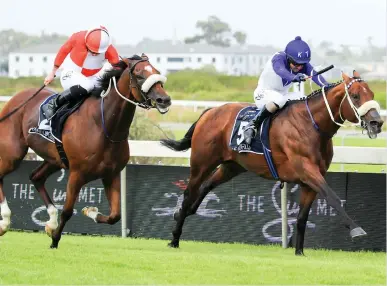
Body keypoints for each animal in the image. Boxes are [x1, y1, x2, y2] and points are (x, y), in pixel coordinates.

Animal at [0, 53, 171, 248]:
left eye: (157, 71)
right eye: (140, 75)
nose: (164, 100)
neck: (104, 127)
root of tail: (16, 98)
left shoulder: (111, 174)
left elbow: (115, 215)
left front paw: (90, 212)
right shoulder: (77, 174)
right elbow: (67, 211)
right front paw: (55, 240)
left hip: (54, 160)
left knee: (36, 177)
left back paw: (50, 222)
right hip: (12, 154)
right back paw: (5, 221)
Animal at [161, 70, 384, 256]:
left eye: (372, 93)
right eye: (355, 96)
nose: (377, 123)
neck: (311, 125)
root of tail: (209, 112)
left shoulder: (311, 179)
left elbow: (302, 218)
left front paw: (299, 252)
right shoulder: (307, 170)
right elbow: (333, 197)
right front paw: (356, 229)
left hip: (232, 166)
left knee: (207, 185)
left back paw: (184, 213)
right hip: (202, 162)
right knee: (189, 193)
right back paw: (174, 237)